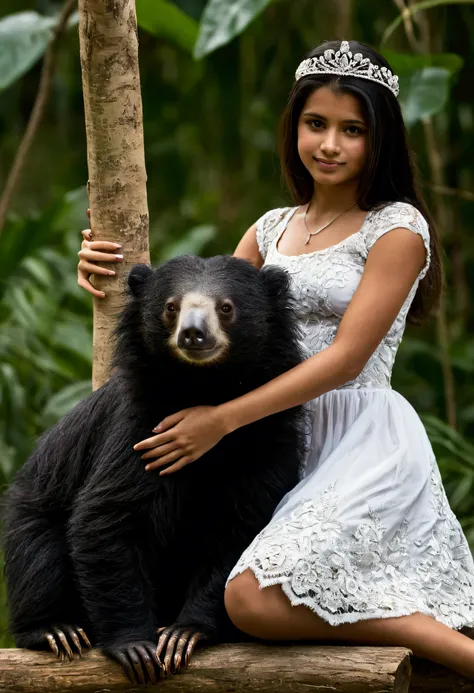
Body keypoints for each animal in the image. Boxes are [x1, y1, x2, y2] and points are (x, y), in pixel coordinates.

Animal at [2, 254, 308, 680]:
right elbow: (107, 518)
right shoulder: (140, 430)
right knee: (38, 556)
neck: (203, 388)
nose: (193, 335)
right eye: (171, 307)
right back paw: (57, 631)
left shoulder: (266, 442)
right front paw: (137, 650)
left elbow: (240, 527)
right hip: (32, 515)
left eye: (226, 308)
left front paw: (184, 635)